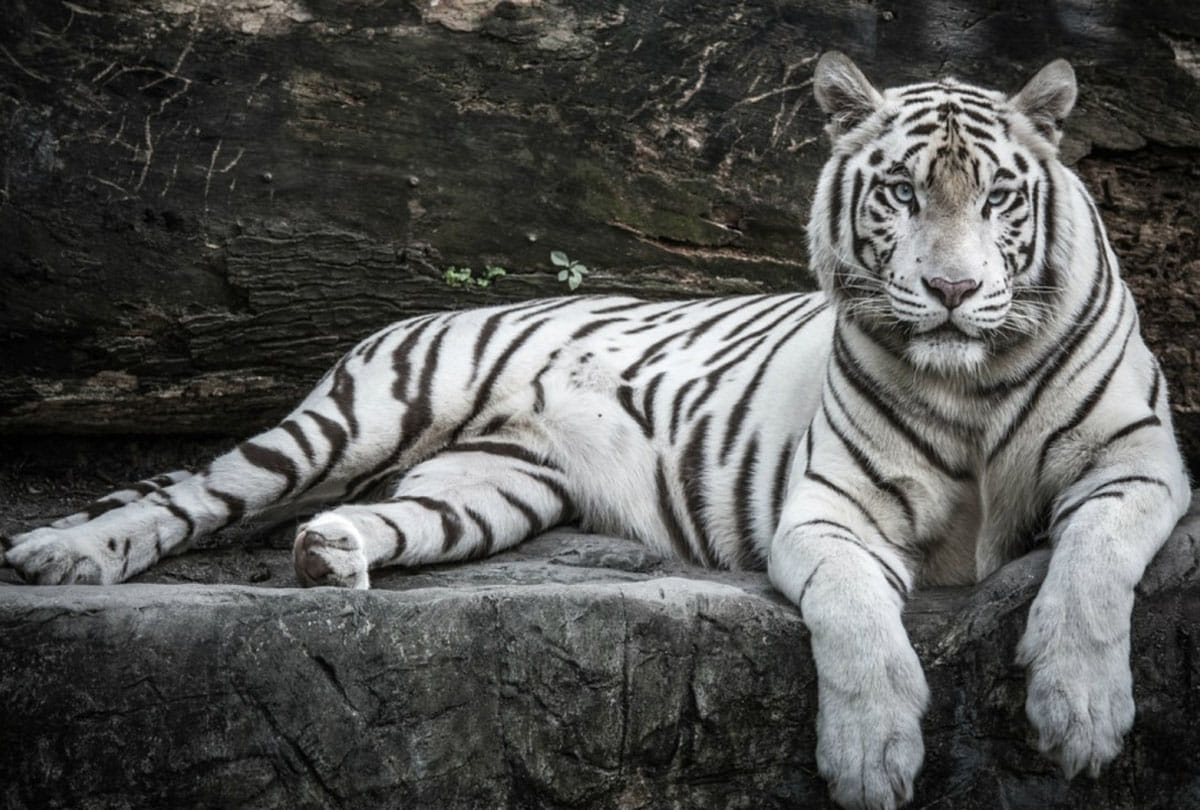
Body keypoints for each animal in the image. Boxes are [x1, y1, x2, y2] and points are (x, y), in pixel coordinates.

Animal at [4, 52, 1190, 810]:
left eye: (998, 201)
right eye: (900, 192)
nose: (950, 291)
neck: (971, 380)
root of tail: (421, 310)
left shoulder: (1140, 469)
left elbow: (1092, 568)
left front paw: (1082, 718)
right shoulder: (830, 514)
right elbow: (856, 623)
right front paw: (872, 755)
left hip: (489, 491)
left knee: (387, 517)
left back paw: (329, 555)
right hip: (359, 416)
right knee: (187, 492)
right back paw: (63, 555)